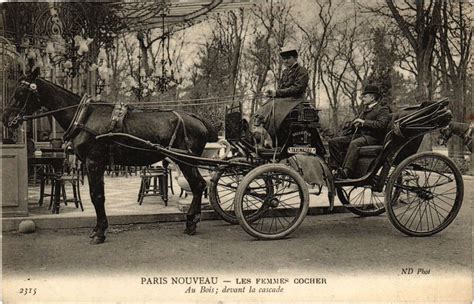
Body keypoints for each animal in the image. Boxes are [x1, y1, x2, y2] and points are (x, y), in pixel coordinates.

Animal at [2, 67, 218, 243]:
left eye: (20, 92)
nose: (6, 118)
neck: (84, 116)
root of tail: (197, 119)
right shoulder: (93, 164)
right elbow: (97, 195)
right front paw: (98, 229)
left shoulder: (94, 162)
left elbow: (97, 196)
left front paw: (100, 232)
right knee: (199, 185)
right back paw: (192, 220)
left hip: (186, 160)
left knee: (198, 185)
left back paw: (191, 222)